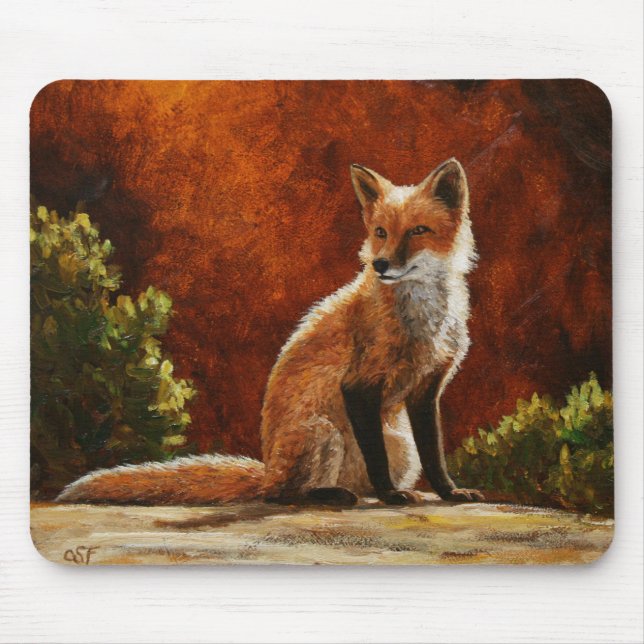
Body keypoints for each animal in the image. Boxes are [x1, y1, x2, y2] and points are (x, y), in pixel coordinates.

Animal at [57, 158, 483, 507]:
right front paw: (391, 495)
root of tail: (266, 470)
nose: (379, 265)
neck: (423, 318)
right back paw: (330, 495)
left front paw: (449, 492)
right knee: (282, 494)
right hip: (323, 432)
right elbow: (378, 460)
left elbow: (435, 454)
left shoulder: (427, 387)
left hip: (399, 445)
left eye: (418, 231)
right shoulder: (359, 385)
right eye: (380, 232)